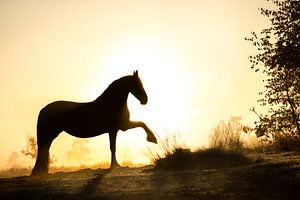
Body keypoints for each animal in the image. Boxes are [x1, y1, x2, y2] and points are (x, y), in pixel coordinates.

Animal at [30, 70, 158, 177]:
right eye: (137, 84)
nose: (145, 100)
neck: (112, 104)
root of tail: (44, 109)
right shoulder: (113, 130)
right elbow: (113, 147)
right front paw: (115, 165)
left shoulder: (123, 127)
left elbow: (142, 124)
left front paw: (152, 139)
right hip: (49, 134)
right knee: (42, 151)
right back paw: (37, 172)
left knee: (44, 150)